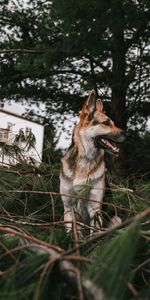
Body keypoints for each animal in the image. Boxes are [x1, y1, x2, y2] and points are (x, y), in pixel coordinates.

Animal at [59, 89, 125, 234]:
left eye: (113, 123)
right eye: (106, 123)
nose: (127, 134)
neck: (86, 158)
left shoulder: (95, 209)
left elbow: (94, 233)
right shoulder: (68, 207)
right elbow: (69, 233)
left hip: (116, 219)